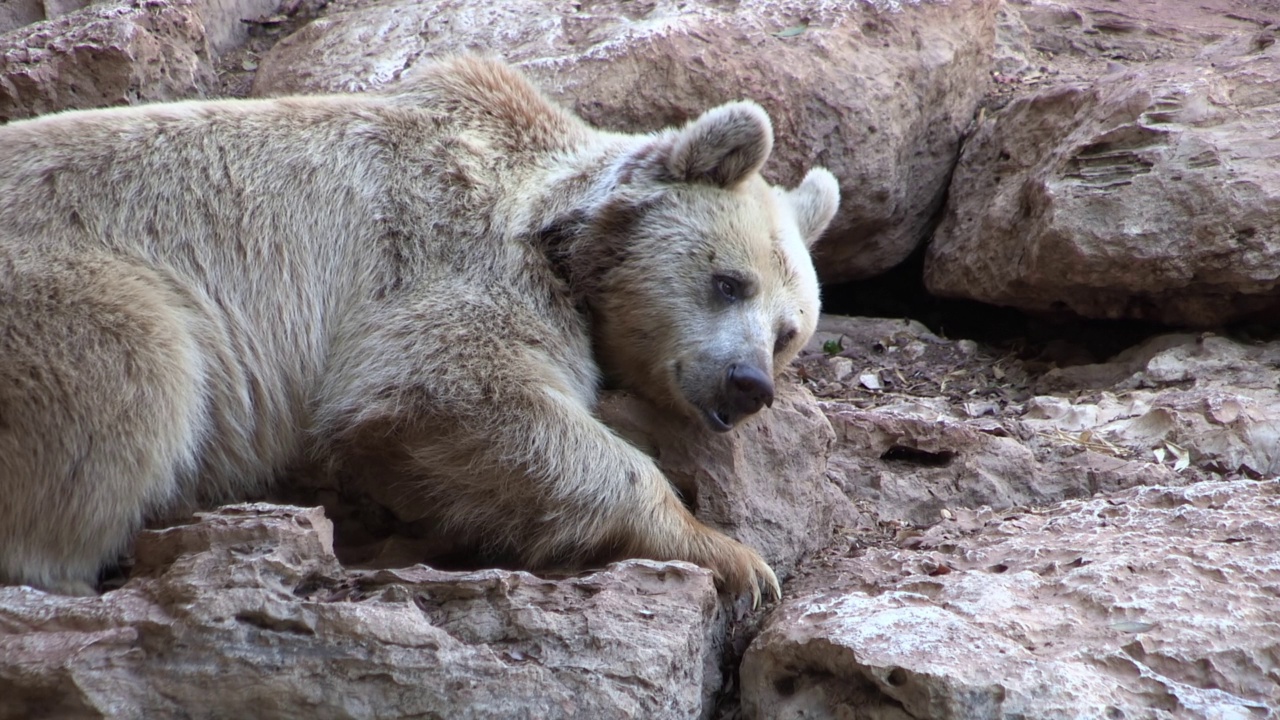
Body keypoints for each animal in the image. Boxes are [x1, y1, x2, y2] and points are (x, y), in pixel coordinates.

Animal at [0, 54, 839, 599]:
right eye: (728, 281)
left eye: (788, 332)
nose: (749, 384)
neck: (560, 235)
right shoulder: (453, 254)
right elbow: (448, 394)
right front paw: (734, 556)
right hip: (74, 293)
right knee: (134, 375)